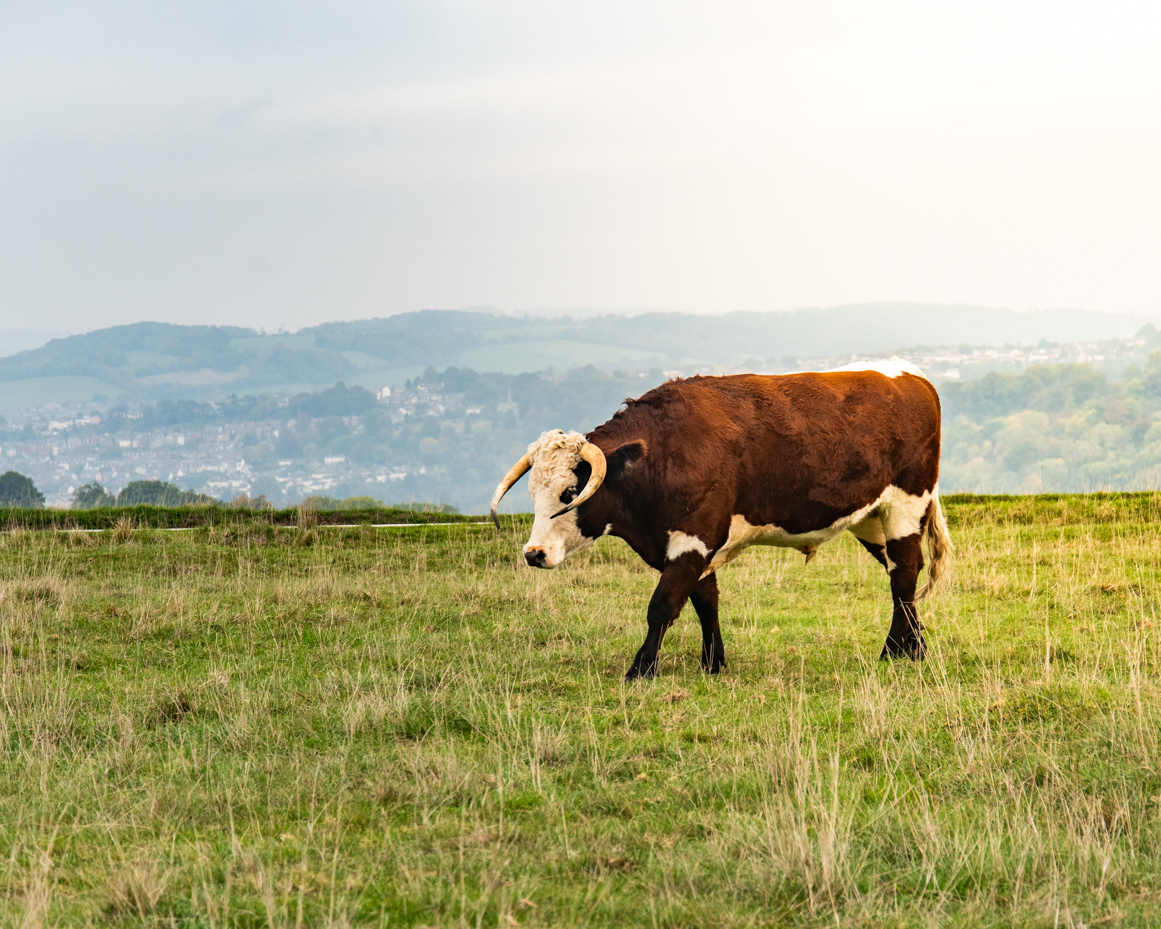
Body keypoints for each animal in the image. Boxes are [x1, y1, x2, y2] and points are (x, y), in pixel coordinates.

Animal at [489, 364, 951, 680]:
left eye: (570, 494)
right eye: (533, 494)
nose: (533, 553)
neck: (661, 453)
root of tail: (910, 377)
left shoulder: (695, 536)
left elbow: (662, 605)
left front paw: (640, 670)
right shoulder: (690, 543)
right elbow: (704, 600)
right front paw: (713, 662)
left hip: (904, 505)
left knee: (904, 576)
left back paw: (893, 652)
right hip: (871, 517)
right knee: (902, 576)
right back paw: (916, 647)